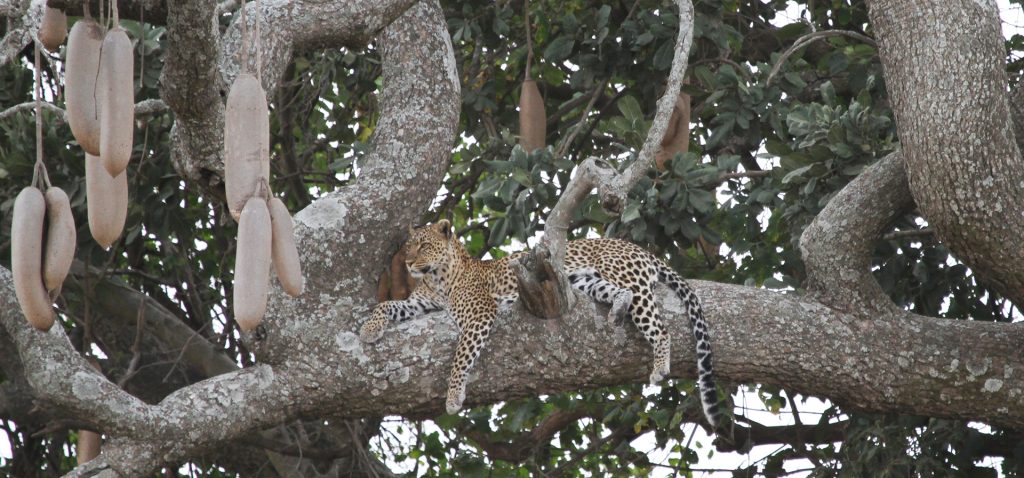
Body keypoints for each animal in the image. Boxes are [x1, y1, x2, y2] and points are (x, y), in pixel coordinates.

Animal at [360, 221, 729, 438]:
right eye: (409, 246)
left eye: (423, 246)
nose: (408, 263)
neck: (438, 278)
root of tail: (638, 248)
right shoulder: (418, 304)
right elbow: (386, 305)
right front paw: (368, 329)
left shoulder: (479, 314)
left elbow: (460, 357)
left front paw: (453, 396)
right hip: (586, 282)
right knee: (619, 295)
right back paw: (617, 311)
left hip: (629, 281)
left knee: (660, 327)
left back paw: (660, 366)